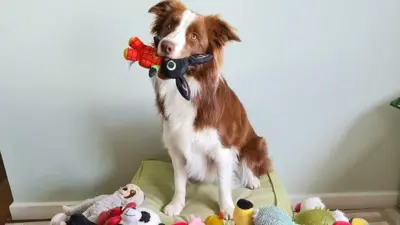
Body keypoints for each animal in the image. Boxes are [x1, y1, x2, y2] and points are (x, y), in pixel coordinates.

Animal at [147, 0, 272, 218]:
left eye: (194, 36)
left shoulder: (222, 148)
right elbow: (179, 182)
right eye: (170, 25)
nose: (166, 45)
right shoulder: (176, 146)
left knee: (249, 163)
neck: (187, 82)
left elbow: (223, 184)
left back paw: (252, 180)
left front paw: (228, 209)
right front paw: (176, 205)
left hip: (256, 142)